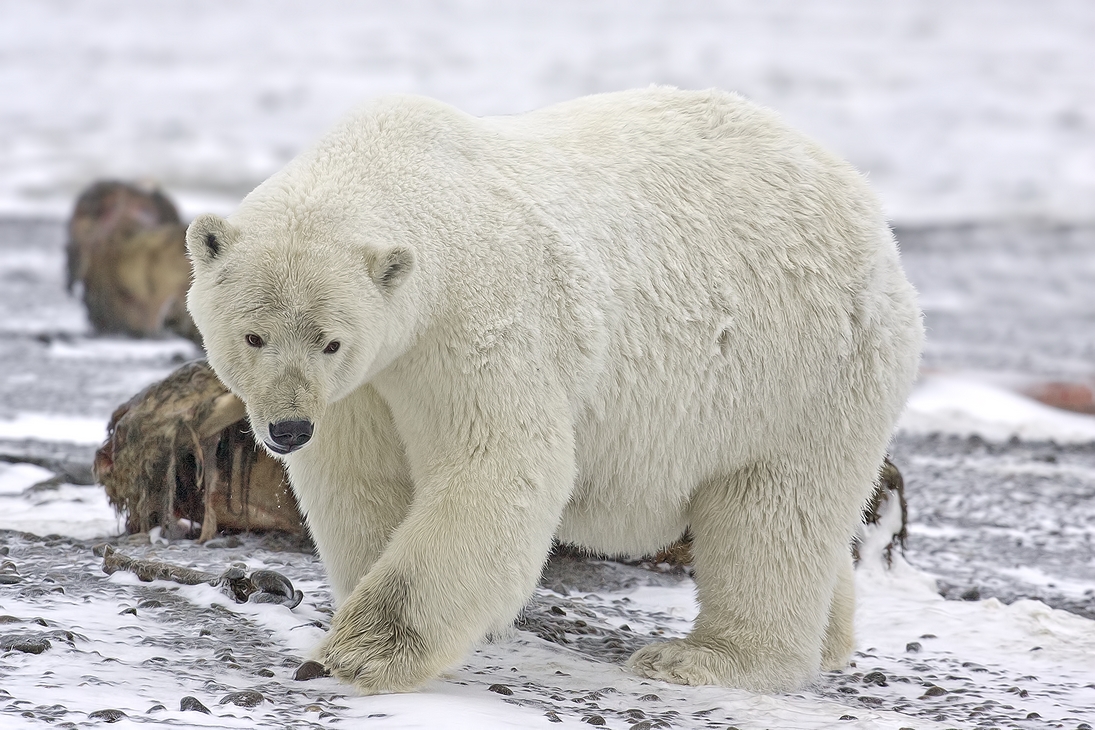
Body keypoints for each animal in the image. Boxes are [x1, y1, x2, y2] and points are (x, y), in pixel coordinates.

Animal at [185, 87, 923, 694]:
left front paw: (363, 652)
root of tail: (866, 207)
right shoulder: (364, 383)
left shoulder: (477, 320)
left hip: (804, 369)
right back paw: (829, 640)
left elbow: (499, 465)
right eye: (253, 335)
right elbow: (360, 479)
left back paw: (702, 657)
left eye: (329, 340)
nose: (287, 429)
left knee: (771, 511)